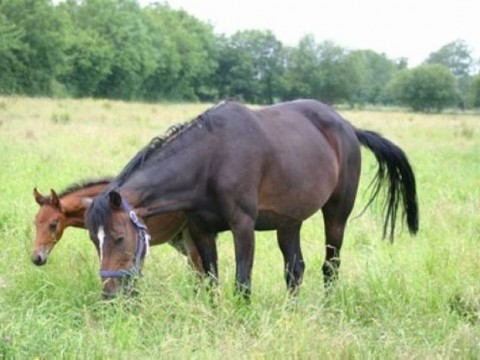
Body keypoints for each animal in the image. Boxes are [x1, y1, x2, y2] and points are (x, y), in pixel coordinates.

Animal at [84, 98, 418, 298]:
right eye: (94, 241)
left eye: (118, 238)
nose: (108, 293)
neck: (210, 159)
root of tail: (347, 127)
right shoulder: (201, 230)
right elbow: (211, 280)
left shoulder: (242, 226)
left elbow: (242, 282)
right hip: (290, 221)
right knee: (295, 269)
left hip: (337, 214)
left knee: (330, 266)